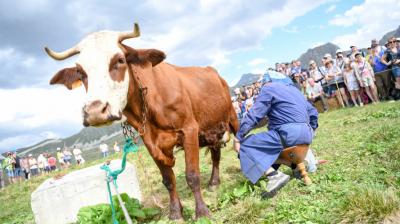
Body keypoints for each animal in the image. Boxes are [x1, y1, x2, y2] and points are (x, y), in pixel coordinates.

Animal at [44, 23, 238, 220]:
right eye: (79, 71)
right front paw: (175, 211)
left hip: (232, 117)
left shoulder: (189, 129)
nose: (95, 111)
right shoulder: (149, 141)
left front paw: (202, 212)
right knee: (215, 154)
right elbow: (168, 180)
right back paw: (214, 182)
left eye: (120, 60)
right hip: (213, 128)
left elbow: (192, 175)